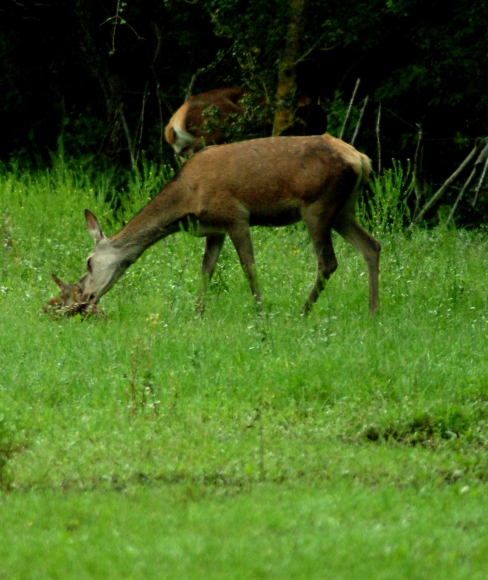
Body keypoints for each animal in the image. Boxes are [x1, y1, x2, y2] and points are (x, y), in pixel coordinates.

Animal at [76, 135, 382, 318]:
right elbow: (207, 269)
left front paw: (260, 312)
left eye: (89, 262)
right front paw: (197, 313)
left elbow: (249, 266)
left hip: (318, 205)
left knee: (328, 261)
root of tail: (362, 160)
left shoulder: (236, 216)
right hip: (343, 209)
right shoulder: (214, 228)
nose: (86, 296)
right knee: (372, 245)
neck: (187, 199)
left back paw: (303, 311)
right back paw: (373, 311)